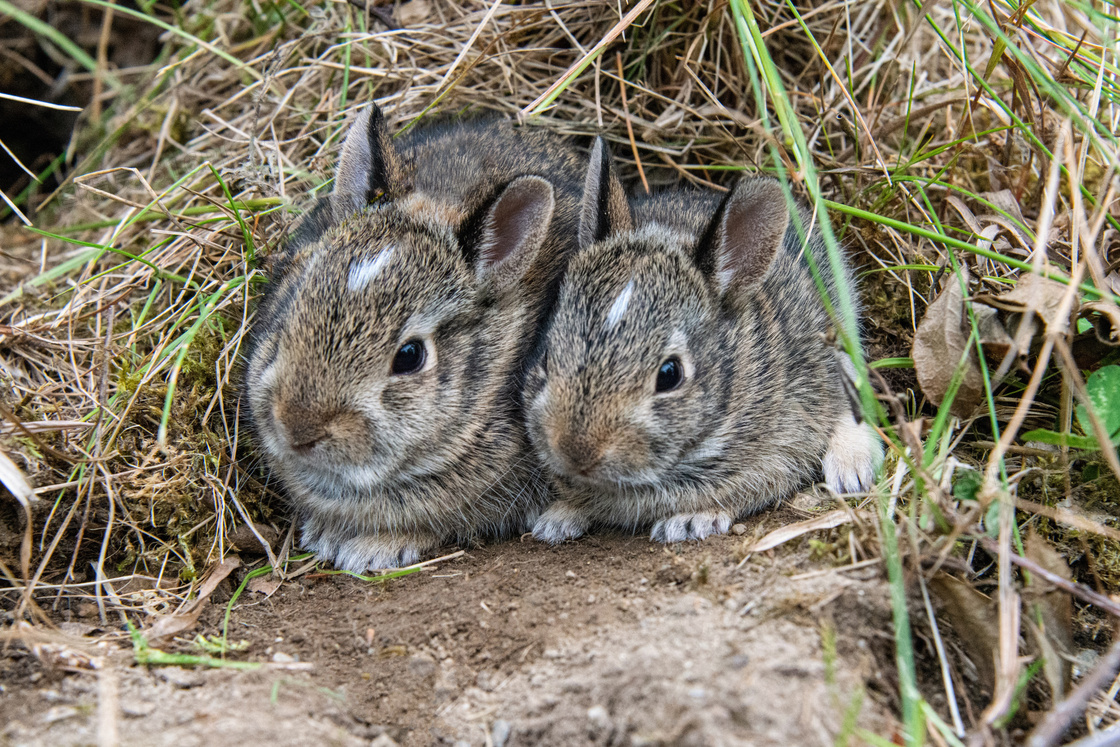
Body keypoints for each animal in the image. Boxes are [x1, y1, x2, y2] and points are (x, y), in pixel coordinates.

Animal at [524, 136, 882, 544]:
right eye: (547, 357)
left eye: (670, 375)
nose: (576, 452)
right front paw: (556, 519)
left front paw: (690, 521)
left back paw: (850, 472)